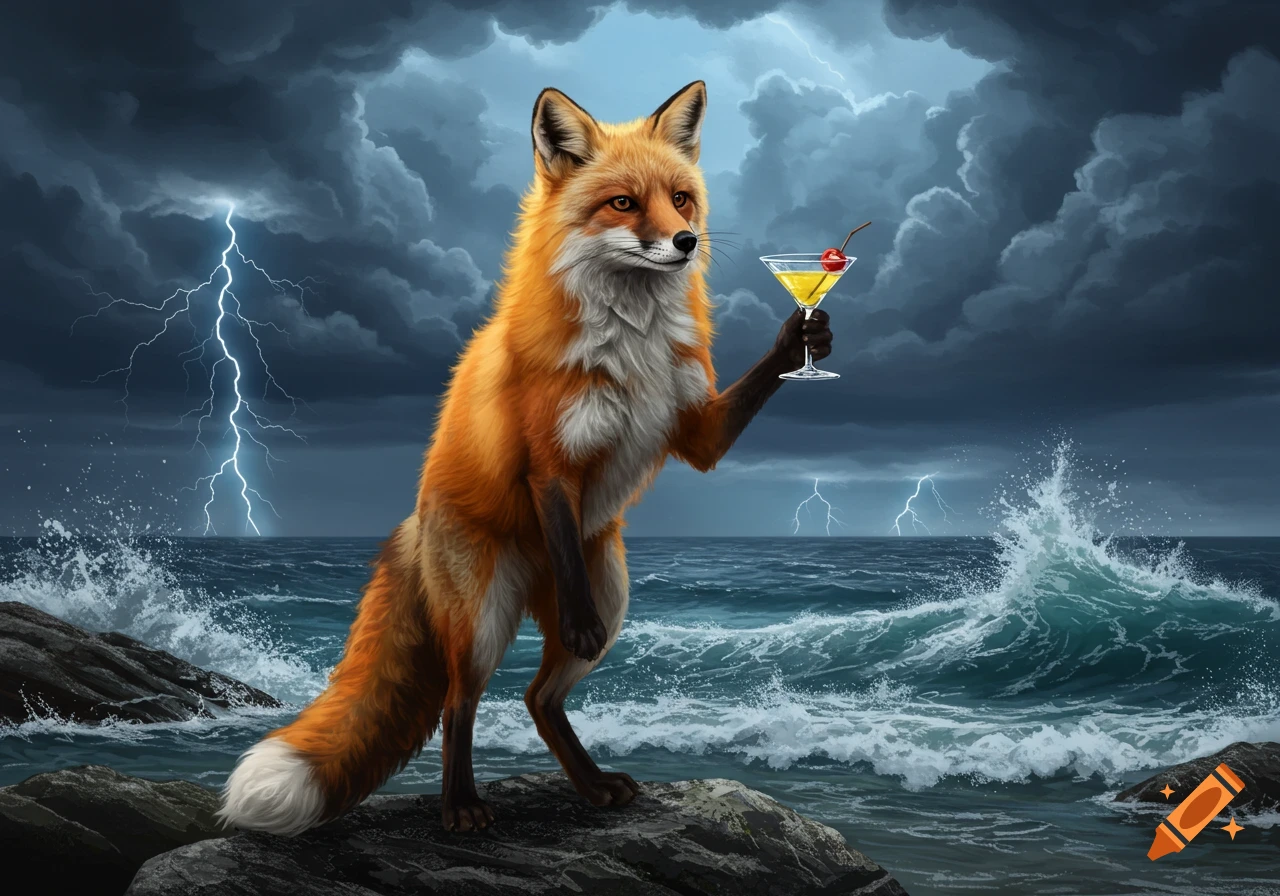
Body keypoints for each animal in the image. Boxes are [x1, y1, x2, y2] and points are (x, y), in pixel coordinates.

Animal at [217, 80, 833, 835]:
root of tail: (415, 523)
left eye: (681, 198)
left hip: (613, 596)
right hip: (485, 621)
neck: (635, 339)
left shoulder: (696, 429)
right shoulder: (550, 464)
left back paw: (592, 786)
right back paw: (461, 805)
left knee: (539, 699)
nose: (686, 242)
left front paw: (803, 336)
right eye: (623, 203)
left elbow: (738, 404)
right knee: (461, 702)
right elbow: (556, 518)